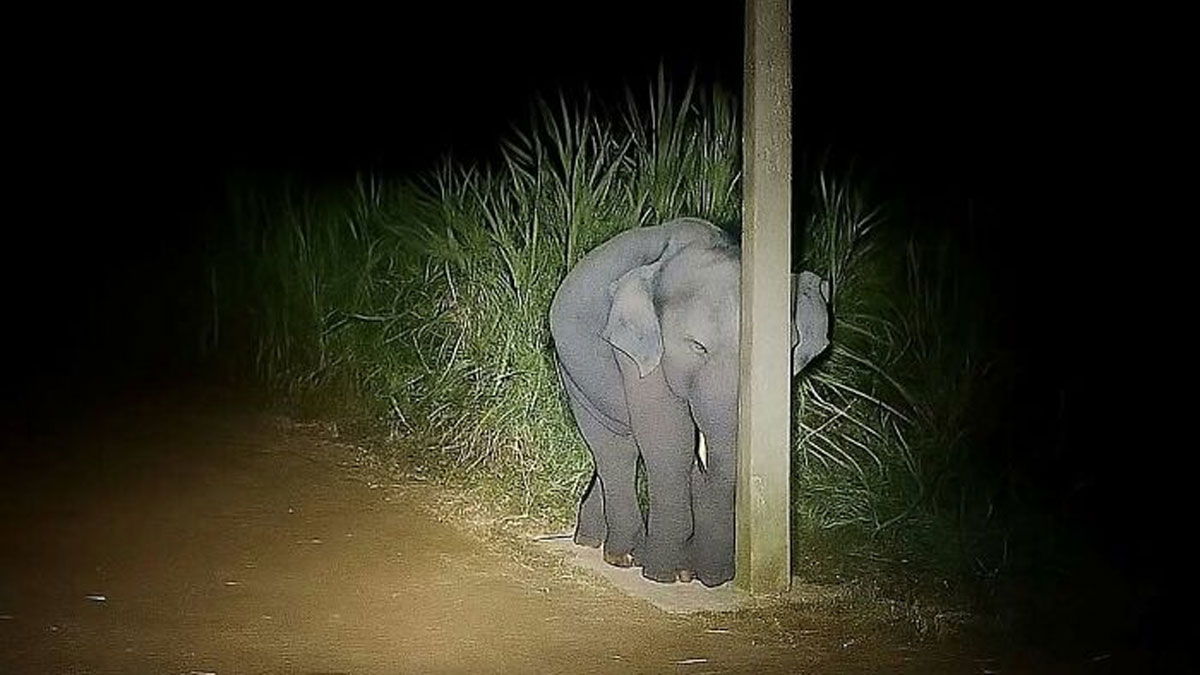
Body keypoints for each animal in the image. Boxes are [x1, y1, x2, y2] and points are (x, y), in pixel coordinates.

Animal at [549, 217, 831, 587]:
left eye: (789, 348)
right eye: (698, 346)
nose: (715, 578)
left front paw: (692, 572)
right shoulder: (638, 351)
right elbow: (670, 441)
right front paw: (664, 574)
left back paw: (600, 542)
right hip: (572, 371)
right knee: (616, 449)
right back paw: (621, 555)